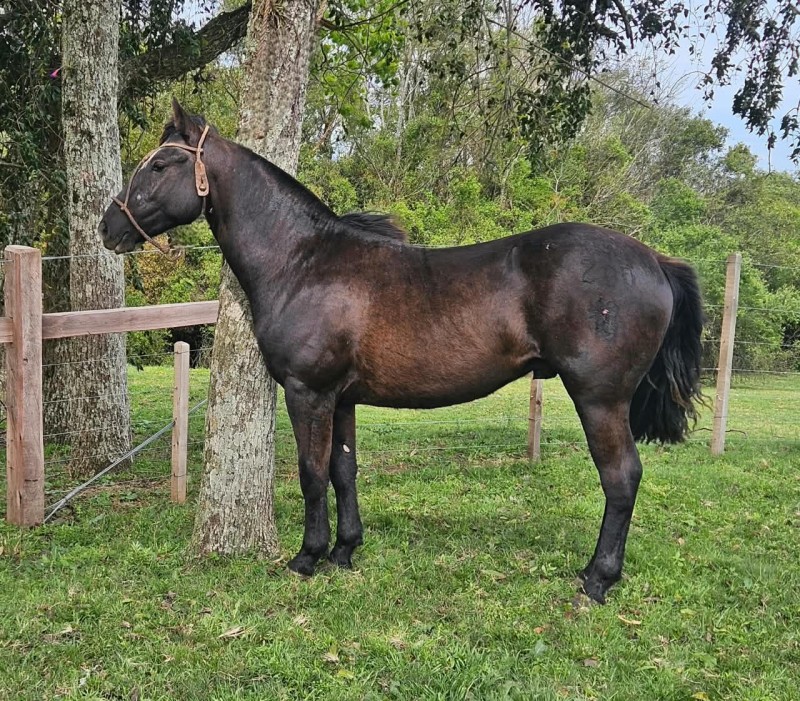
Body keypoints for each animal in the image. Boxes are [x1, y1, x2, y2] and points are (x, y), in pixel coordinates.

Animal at [100, 99, 704, 603]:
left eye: (160, 166)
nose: (108, 228)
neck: (303, 261)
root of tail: (653, 260)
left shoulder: (307, 392)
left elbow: (311, 472)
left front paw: (307, 557)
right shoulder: (341, 398)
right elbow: (343, 470)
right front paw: (345, 550)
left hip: (599, 399)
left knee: (621, 478)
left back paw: (597, 580)